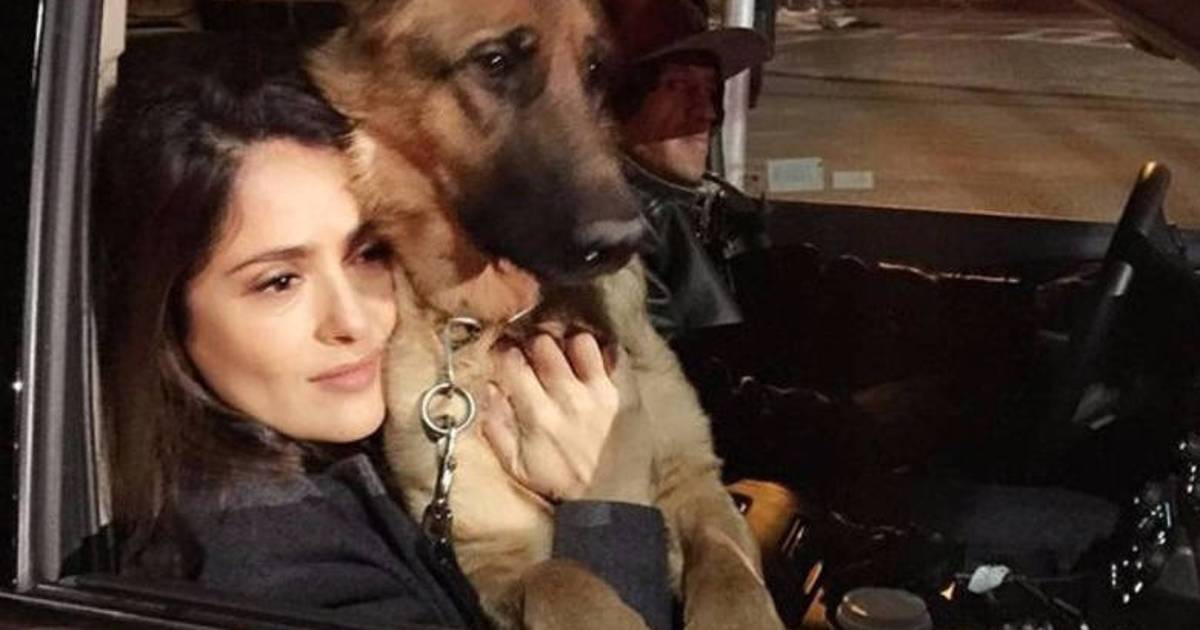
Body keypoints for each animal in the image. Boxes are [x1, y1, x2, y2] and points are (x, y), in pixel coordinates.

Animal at [309, 1, 784, 628]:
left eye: (595, 71)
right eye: (495, 62)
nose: (628, 239)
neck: (519, 317)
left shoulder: (697, 483)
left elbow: (730, 570)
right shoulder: (491, 548)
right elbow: (560, 577)